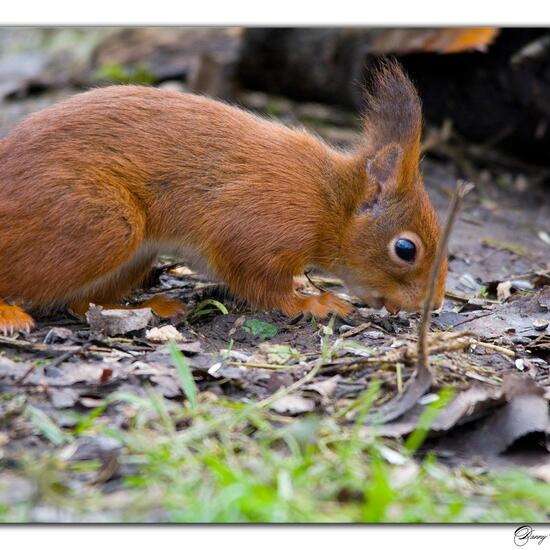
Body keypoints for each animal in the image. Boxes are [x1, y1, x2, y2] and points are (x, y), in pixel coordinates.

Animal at [0, 62, 448, 334]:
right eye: (405, 249)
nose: (434, 304)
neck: (329, 201)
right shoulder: (259, 222)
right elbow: (259, 281)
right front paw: (314, 302)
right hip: (101, 227)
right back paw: (9, 313)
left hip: (131, 253)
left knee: (82, 305)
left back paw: (149, 309)